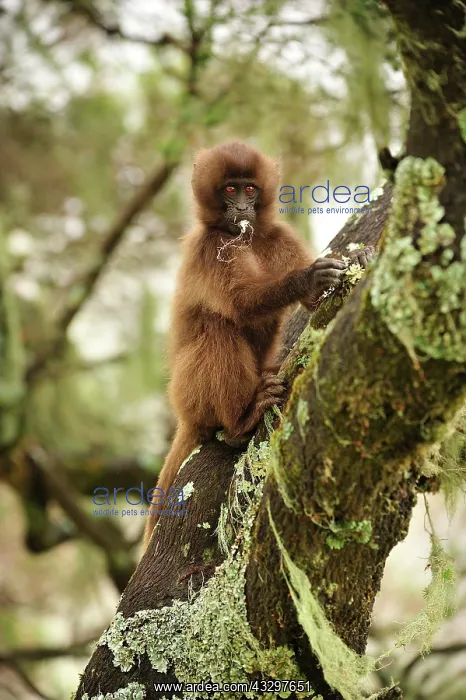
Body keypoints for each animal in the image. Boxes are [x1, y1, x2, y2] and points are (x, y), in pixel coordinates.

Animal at [143, 141, 373, 549]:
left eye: (249, 189)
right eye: (230, 190)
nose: (241, 208)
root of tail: (185, 416)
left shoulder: (277, 236)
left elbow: (311, 302)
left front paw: (356, 258)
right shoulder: (210, 245)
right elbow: (239, 304)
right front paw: (305, 278)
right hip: (189, 392)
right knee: (218, 327)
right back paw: (241, 422)